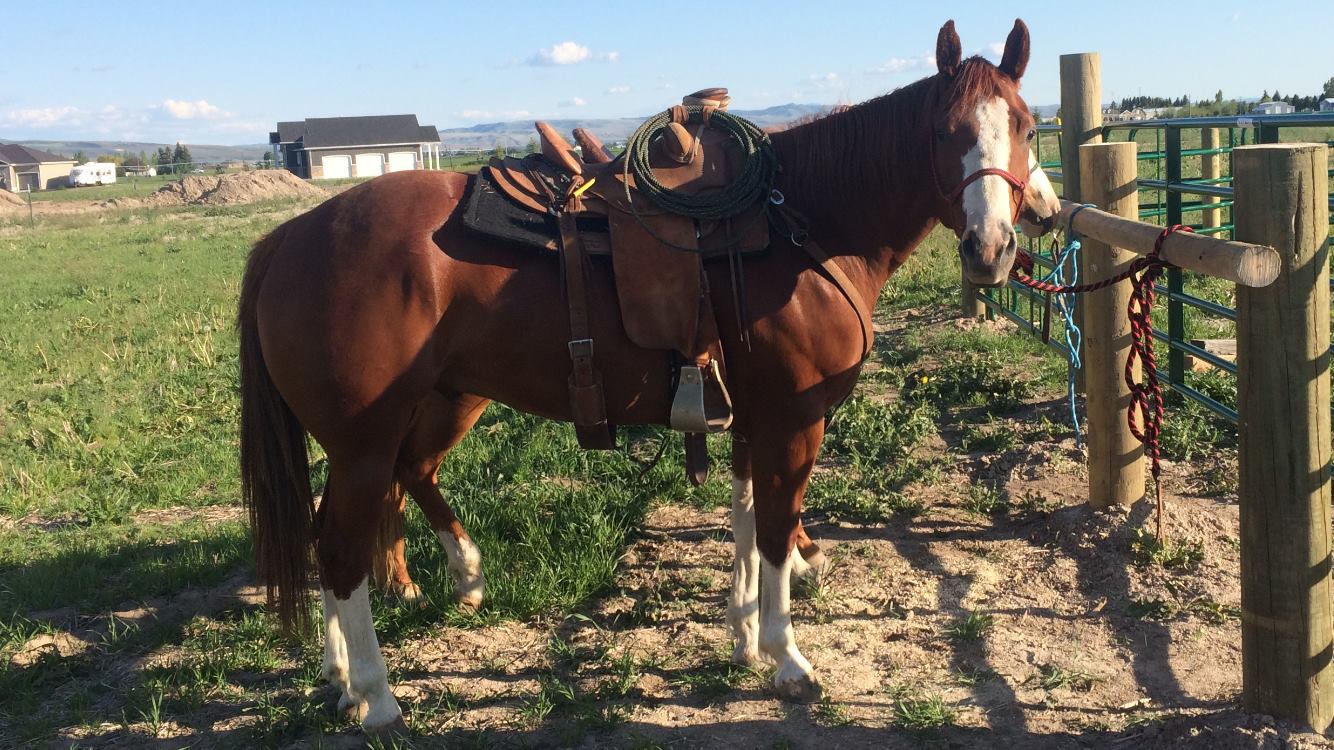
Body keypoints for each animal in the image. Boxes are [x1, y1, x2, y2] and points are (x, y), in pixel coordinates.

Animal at [237, 18, 1060, 734]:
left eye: (1025, 126)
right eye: (946, 132)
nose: (994, 246)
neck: (805, 226)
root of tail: (289, 237)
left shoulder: (752, 421)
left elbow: (745, 521)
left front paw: (744, 638)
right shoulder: (794, 424)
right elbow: (776, 529)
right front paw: (787, 659)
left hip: (415, 417)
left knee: (346, 524)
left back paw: (352, 669)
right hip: (367, 442)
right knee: (342, 549)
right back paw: (378, 697)